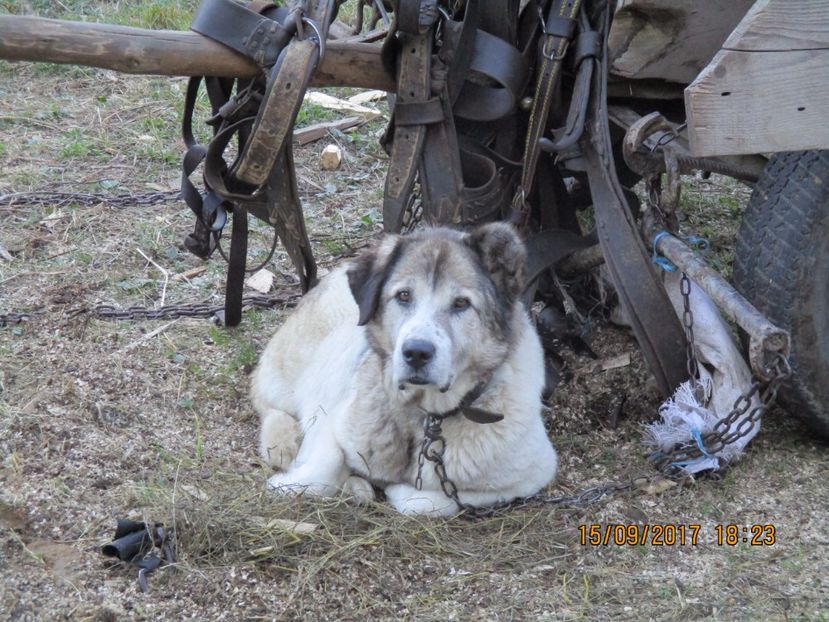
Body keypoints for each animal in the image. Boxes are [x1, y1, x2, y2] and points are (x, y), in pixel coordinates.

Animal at [251, 224, 556, 516]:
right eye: (404, 296)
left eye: (461, 303)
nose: (416, 353)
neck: (427, 416)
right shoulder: (335, 411)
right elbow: (324, 464)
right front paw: (288, 483)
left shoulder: (532, 475)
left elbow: (432, 500)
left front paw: (394, 488)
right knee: (267, 400)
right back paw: (284, 442)